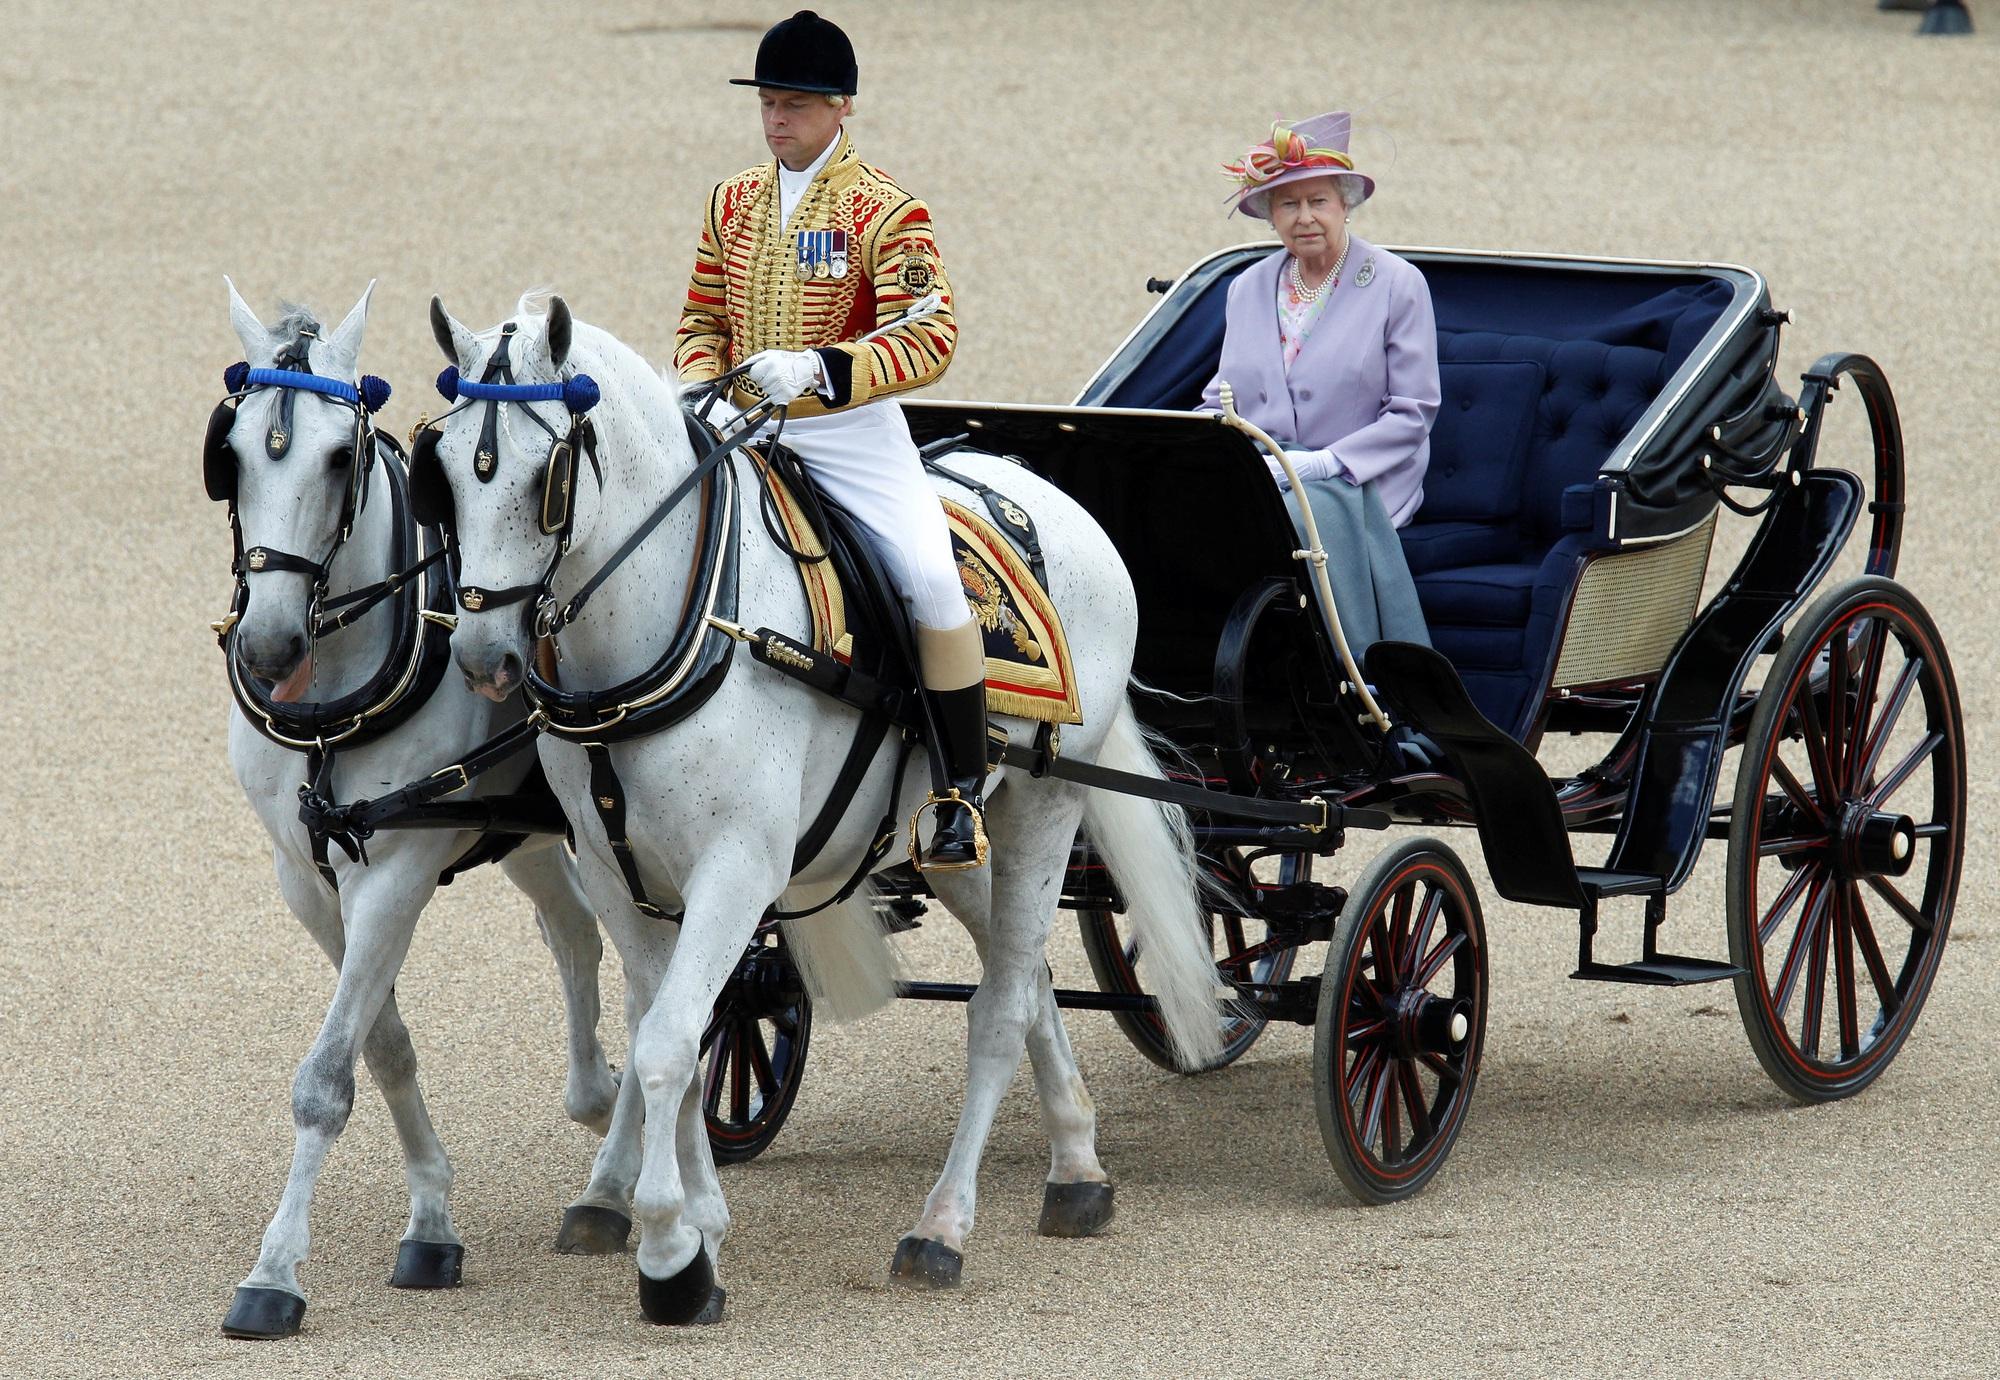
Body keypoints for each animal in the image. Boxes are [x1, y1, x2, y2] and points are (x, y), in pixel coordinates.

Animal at [214, 280, 620, 1336]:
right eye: (230, 455)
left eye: (338, 456)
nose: (270, 646)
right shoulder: (308, 879)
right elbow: (383, 1047)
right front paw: (432, 1221)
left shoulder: (395, 870)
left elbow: (325, 1080)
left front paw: (273, 1275)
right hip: (528, 832)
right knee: (576, 933)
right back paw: (602, 1107)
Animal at [426, 292, 1216, 1320]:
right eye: (442, 469)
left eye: (544, 477)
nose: (485, 660)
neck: (682, 624)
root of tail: (1054, 500)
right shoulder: (615, 871)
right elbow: (664, 1034)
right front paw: (697, 1224)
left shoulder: (736, 869)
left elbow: (670, 1042)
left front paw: (672, 1256)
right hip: (948, 839)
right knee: (1028, 974)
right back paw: (1078, 1168)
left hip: (1045, 804)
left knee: (1000, 1009)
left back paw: (941, 1229)